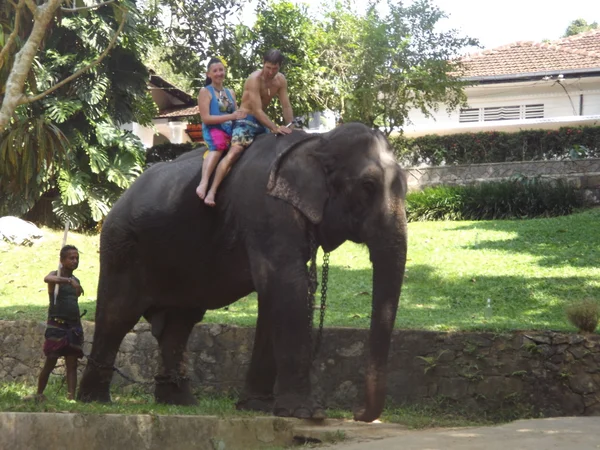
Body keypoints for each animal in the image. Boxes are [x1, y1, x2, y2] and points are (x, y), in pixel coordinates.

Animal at [78, 122, 408, 422]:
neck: (318, 140)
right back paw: (94, 401)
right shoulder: (265, 209)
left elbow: (277, 293)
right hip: (121, 246)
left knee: (179, 323)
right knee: (118, 314)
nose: (357, 413)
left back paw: (180, 402)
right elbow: (287, 286)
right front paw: (306, 414)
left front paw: (257, 407)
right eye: (367, 186)